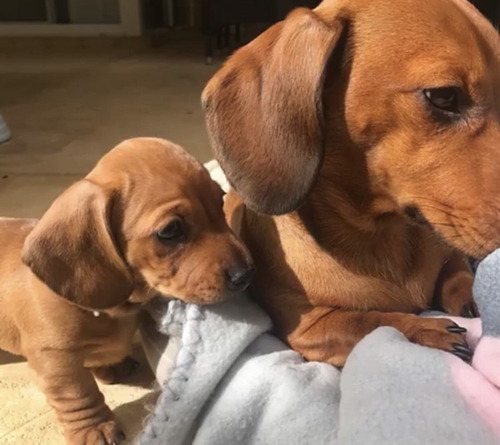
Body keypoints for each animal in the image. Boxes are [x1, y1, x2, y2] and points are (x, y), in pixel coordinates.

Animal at [0, 137, 252, 442]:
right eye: (170, 231)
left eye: (220, 201)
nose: (245, 274)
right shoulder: (55, 359)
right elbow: (79, 394)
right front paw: (93, 427)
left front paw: (107, 365)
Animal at [202, 0, 500, 366]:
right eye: (443, 96)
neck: (385, 235)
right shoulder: (311, 328)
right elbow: (370, 321)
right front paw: (424, 330)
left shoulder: (449, 252)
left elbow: (458, 275)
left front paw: (472, 298)